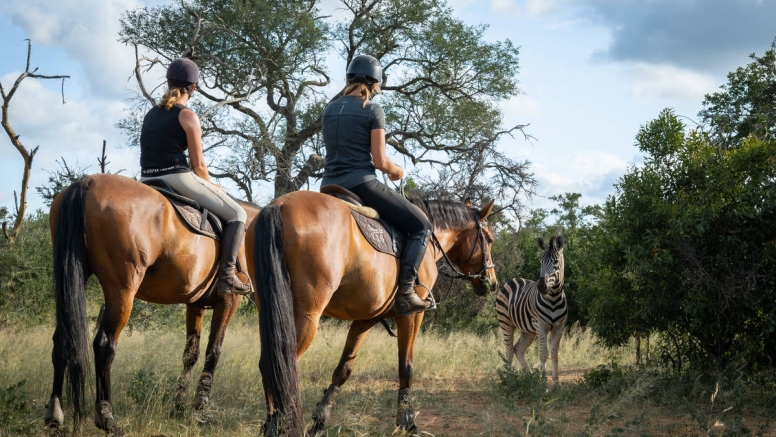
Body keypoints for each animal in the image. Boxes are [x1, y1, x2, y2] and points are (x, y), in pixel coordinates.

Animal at [43, 173, 260, 432]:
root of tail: (89, 182)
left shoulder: (195, 305)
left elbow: (190, 354)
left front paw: (178, 408)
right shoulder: (229, 302)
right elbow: (212, 353)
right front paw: (200, 411)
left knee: (62, 340)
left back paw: (54, 415)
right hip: (122, 291)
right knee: (105, 345)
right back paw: (106, 417)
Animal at [255, 191, 498, 436]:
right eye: (489, 239)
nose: (492, 283)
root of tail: (279, 205)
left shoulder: (366, 319)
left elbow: (343, 369)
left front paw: (319, 422)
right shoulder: (411, 316)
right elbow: (406, 367)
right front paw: (407, 421)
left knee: (268, 364)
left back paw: (272, 423)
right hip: (306, 316)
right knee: (284, 366)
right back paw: (282, 424)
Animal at [494, 235, 568, 382]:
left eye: (556, 261)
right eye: (541, 261)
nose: (541, 286)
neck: (554, 299)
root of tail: (513, 279)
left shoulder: (559, 327)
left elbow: (555, 354)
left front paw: (556, 382)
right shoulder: (540, 325)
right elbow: (544, 354)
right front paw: (543, 381)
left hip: (528, 330)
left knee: (518, 349)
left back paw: (529, 375)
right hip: (506, 322)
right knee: (509, 350)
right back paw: (510, 378)